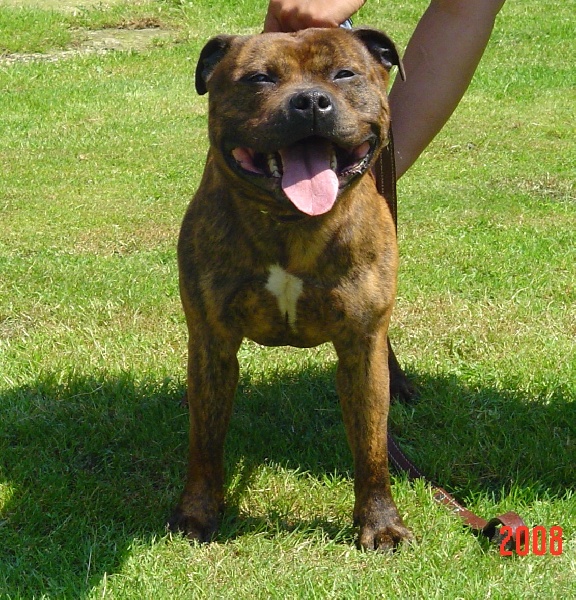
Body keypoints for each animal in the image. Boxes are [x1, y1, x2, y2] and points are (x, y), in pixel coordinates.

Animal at [170, 27, 413, 551]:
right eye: (259, 78)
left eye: (344, 73)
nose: (310, 101)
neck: (291, 223)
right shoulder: (212, 340)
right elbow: (204, 441)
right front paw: (197, 512)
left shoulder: (361, 345)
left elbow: (371, 446)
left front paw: (380, 523)